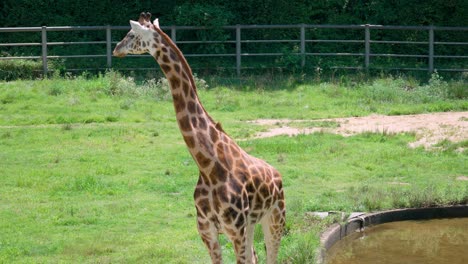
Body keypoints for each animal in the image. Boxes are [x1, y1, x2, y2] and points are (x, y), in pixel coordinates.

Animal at [113, 12, 286, 264]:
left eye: (131, 34)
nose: (116, 48)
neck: (207, 166)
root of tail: (277, 174)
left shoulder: (235, 228)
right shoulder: (207, 230)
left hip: (275, 218)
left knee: (271, 255)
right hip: (252, 224)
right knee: (255, 256)